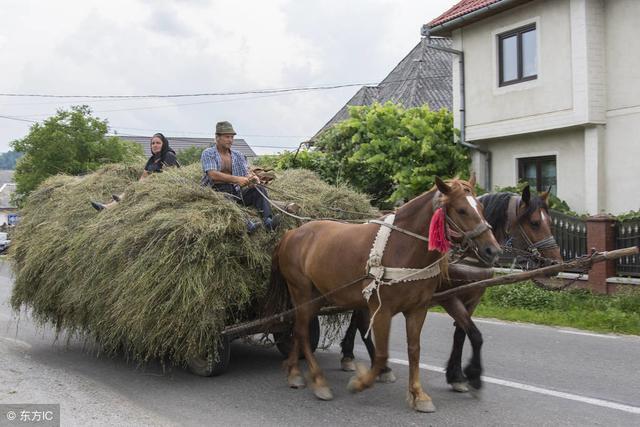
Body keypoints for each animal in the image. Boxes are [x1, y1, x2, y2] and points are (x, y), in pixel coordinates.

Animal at [268, 178, 502, 414]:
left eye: (481, 208)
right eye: (462, 210)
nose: (493, 250)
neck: (402, 246)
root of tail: (291, 234)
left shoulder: (418, 309)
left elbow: (415, 350)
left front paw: (419, 394)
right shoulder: (382, 310)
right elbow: (381, 354)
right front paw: (361, 382)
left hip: (319, 296)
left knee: (299, 330)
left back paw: (294, 371)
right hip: (302, 292)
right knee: (302, 332)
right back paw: (318, 380)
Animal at [338, 186, 564, 392]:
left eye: (549, 222)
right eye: (534, 223)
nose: (555, 263)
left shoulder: (473, 299)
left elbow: (463, 334)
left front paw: (456, 375)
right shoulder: (449, 298)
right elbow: (473, 334)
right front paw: (471, 374)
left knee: (357, 319)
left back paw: (349, 354)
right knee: (362, 322)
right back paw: (380, 367)